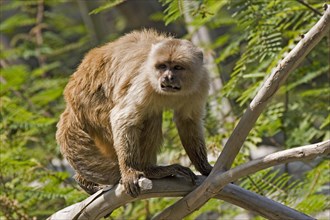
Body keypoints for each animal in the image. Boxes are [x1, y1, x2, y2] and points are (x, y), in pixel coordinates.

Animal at [55, 29, 213, 198]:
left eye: (177, 67)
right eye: (162, 66)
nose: (167, 77)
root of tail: (71, 101)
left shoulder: (201, 82)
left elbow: (187, 120)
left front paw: (204, 167)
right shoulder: (145, 80)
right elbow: (122, 118)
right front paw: (130, 172)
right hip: (91, 108)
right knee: (149, 116)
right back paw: (149, 171)